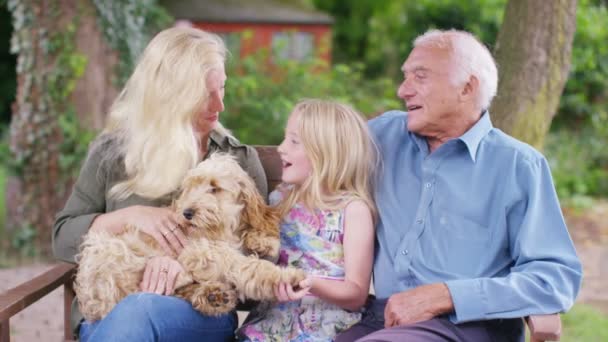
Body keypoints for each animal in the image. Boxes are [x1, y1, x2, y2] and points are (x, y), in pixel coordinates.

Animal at [73, 154, 306, 322]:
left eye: (214, 187)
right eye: (191, 188)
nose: (186, 213)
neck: (221, 230)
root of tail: (91, 306)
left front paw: (263, 241)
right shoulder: (203, 252)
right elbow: (249, 266)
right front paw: (288, 277)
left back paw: (212, 295)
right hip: (107, 248)